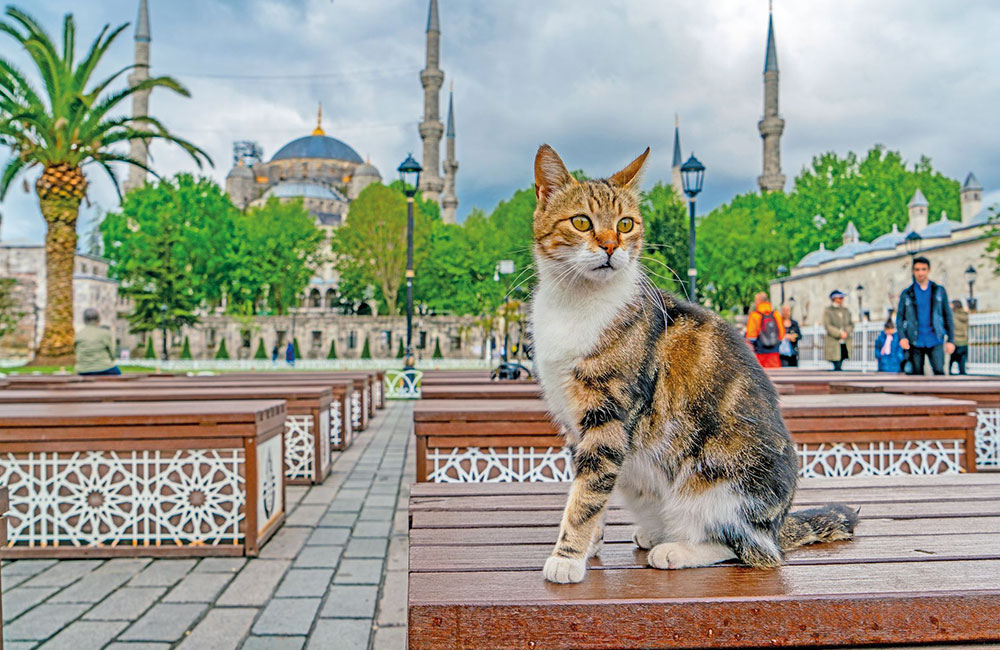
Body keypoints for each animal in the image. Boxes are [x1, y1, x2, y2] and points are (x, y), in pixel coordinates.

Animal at [528, 143, 856, 584]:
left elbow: (588, 491)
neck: (577, 302)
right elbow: (593, 489)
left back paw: (677, 549)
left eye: (626, 224)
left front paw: (567, 556)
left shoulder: (608, 414)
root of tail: (777, 524)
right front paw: (589, 546)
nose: (612, 246)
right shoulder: (576, 424)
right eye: (581, 221)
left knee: (748, 550)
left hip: (722, 484)